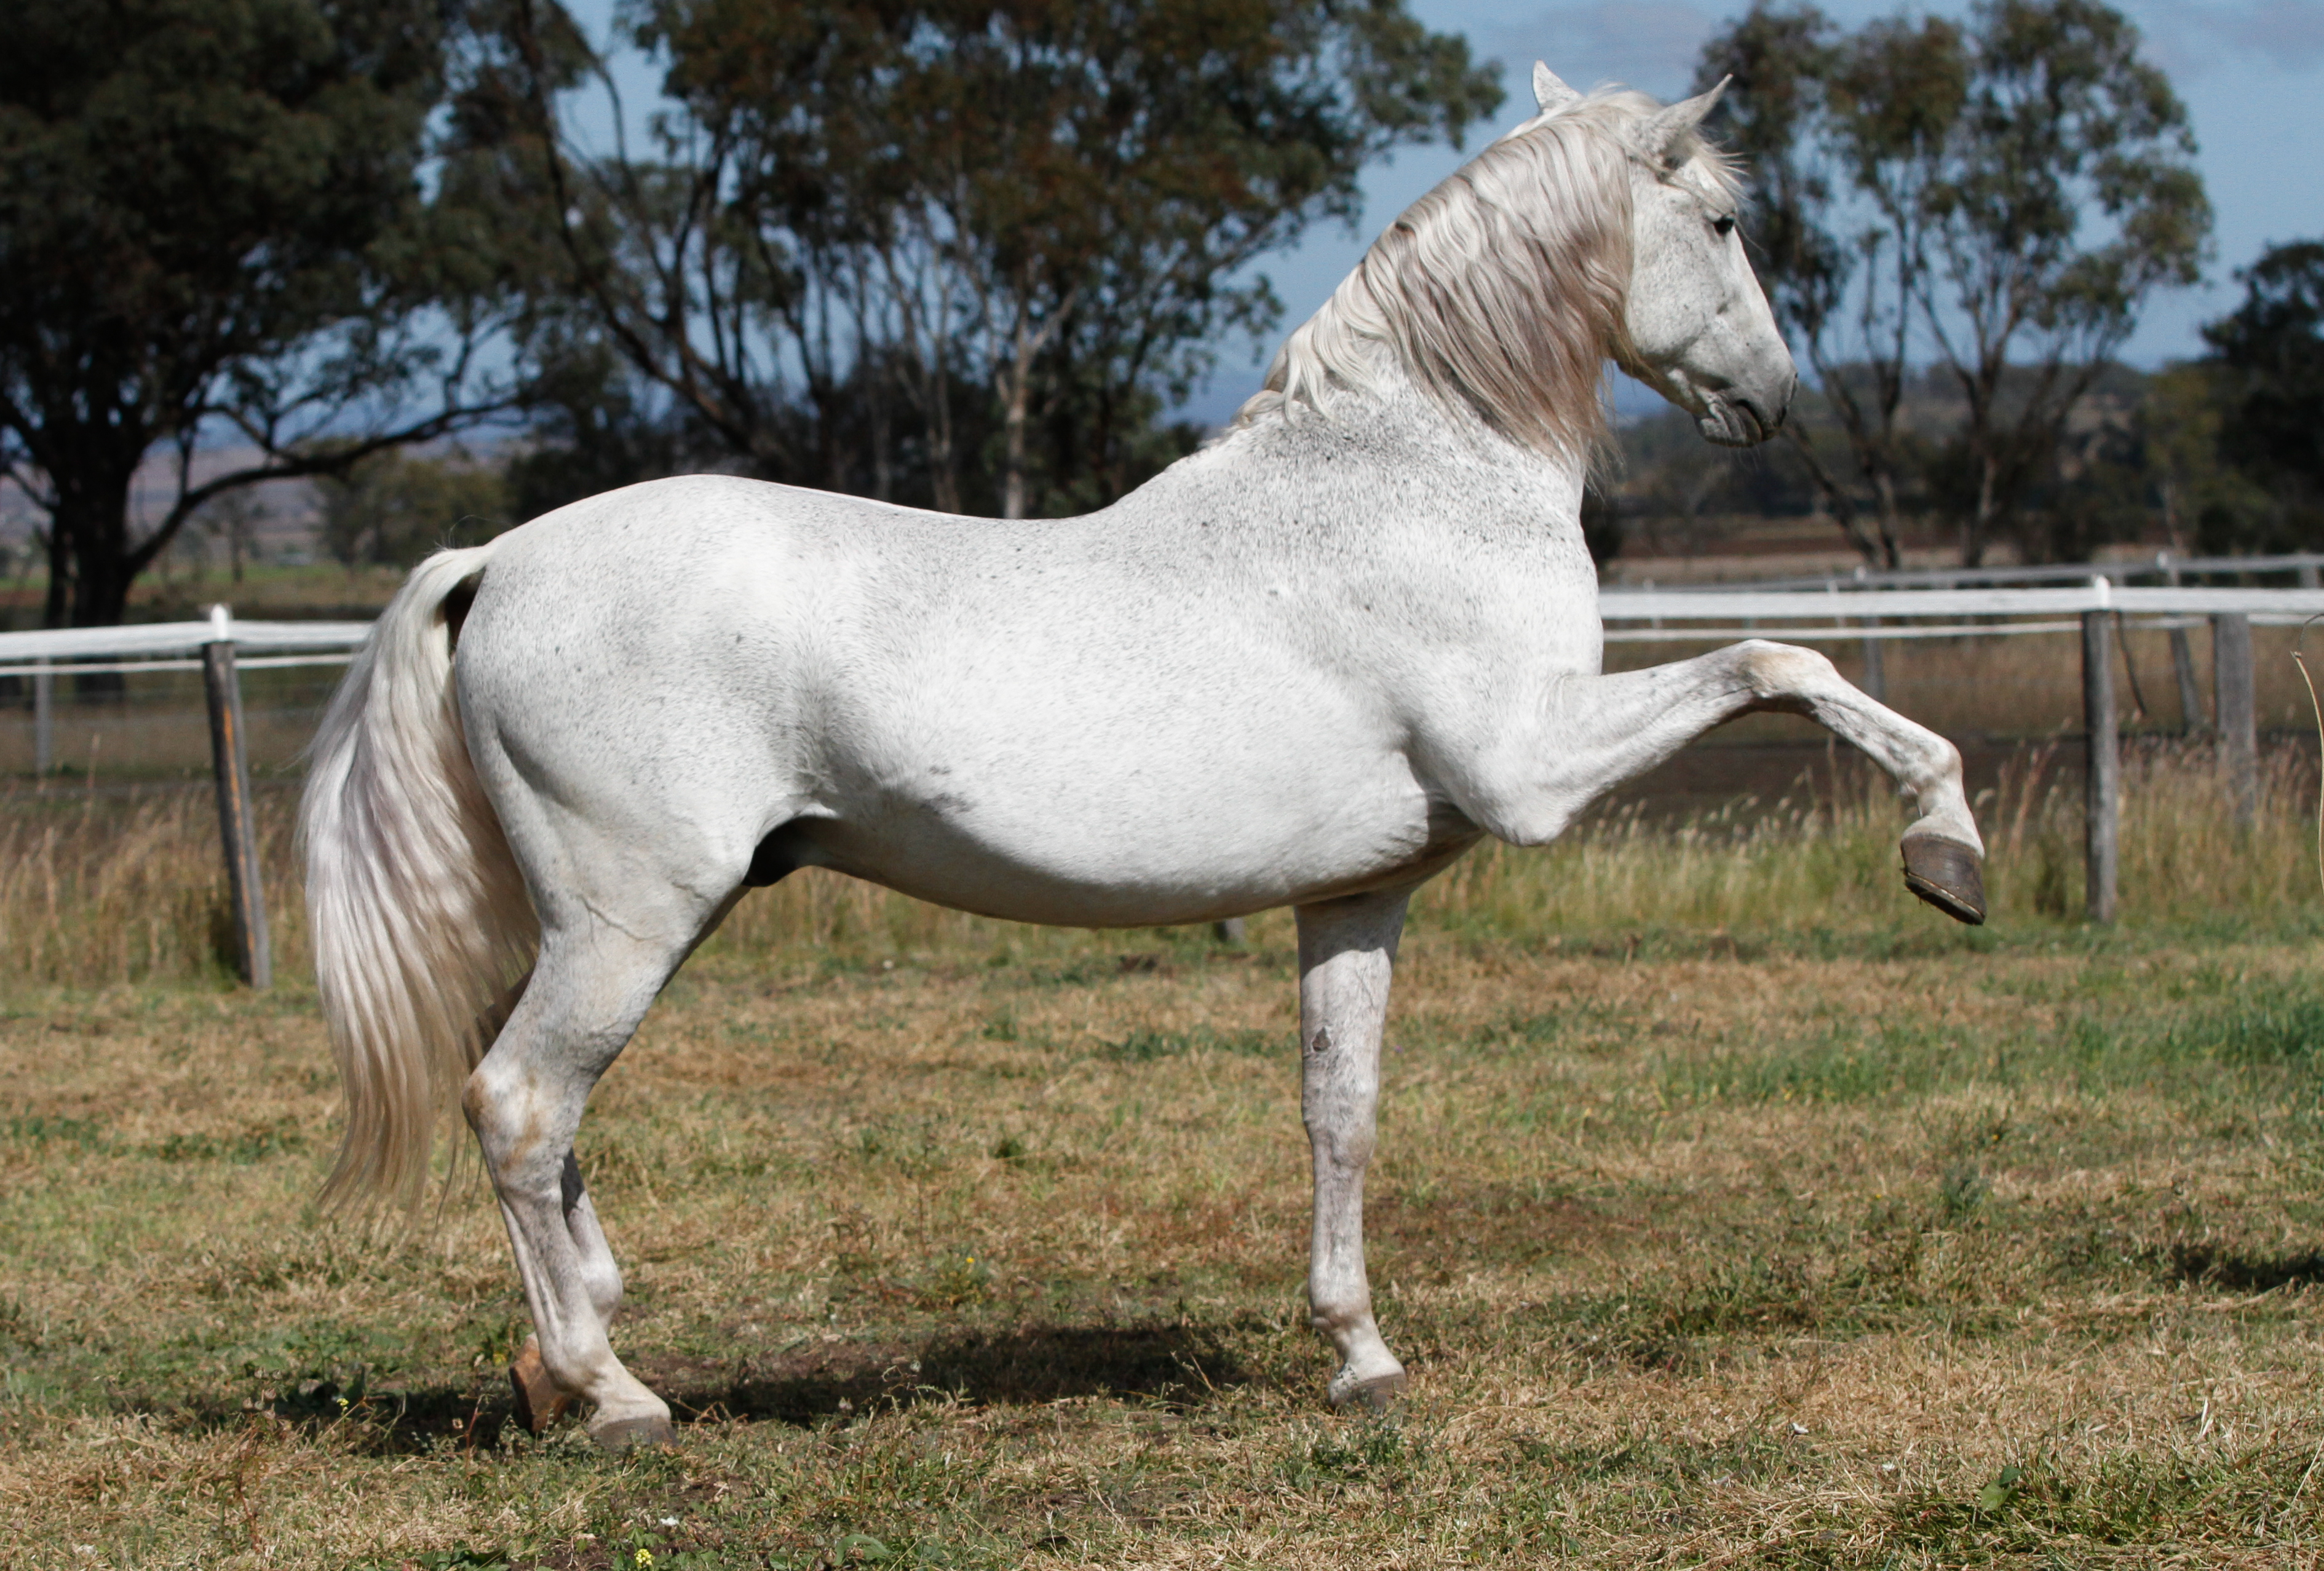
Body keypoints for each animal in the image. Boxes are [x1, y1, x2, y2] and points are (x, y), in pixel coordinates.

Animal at [299, 70, 1989, 1450]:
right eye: (1717, 219)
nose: (1769, 400)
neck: (1413, 476)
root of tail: (497, 560)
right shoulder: (1537, 773)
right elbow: (1783, 665)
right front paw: (1943, 848)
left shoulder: (1360, 893)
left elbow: (1338, 1110)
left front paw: (1359, 1356)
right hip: (633, 916)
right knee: (521, 1104)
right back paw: (610, 1392)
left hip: (598, 920)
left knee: (542, 1117)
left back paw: (567, 1355)